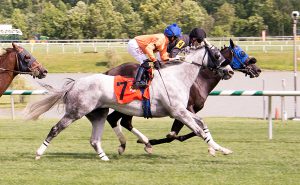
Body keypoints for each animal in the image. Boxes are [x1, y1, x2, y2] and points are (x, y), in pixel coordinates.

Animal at [25, 43, 234, 160]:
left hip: (98, 114)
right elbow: (198, 130)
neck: (177, 76)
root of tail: (76, 83)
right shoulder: (178, 112)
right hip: (75, 112)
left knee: (96, 138)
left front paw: (220, 149)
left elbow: (202, 124)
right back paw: (38, 153)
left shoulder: (184, 110)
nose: (230, 71)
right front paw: (218, 148)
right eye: (218, 55)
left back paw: (105, 157)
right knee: (55, 129)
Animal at [105, 39, 260, 155]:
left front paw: (214, 148)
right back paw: (141, 142)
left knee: (118, 120)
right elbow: (177, 134)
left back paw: (133, 143)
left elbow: (194, 128)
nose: (257, 70)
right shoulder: (184, 109)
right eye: (241, 53)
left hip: (125, 107)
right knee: (120, 121)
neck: (198, 80)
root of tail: (109, 71)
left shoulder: (187, 110)